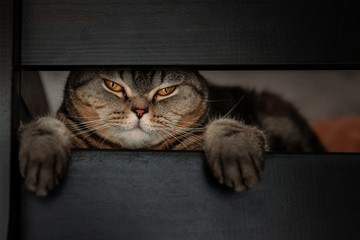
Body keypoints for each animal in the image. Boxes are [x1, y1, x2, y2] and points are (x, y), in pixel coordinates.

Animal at [18, 69, 324, 195]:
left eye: (166, 90)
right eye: (112, 85)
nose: (139, 110)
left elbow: (227, 126)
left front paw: (235, 155)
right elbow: (43, 125)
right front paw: (42, 157)